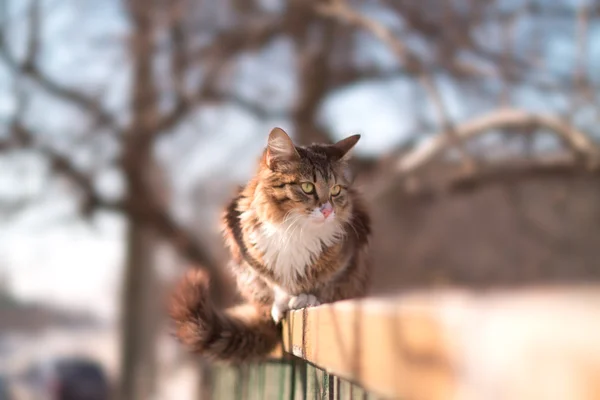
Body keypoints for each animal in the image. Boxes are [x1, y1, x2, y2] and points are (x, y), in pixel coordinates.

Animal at [169, 128, 372, 362]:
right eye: (307, 187)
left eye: (336, 190)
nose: (328, 211)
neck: (296, 230)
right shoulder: (248, 251)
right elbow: (275, 282)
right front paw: (284, 302)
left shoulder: (347, 259)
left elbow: (325, 283)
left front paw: (306, 297)